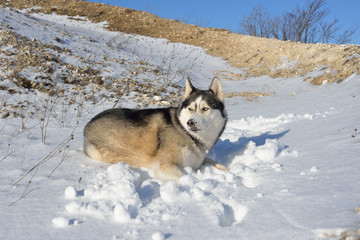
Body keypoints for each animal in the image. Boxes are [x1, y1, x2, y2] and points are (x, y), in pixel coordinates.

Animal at [83, 77, 226, 182]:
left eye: (205, 109)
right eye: (190, 109)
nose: (190, 123)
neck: (187, 133)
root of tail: (87, 125)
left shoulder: (197, 161)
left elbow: (209, 160)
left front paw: (223, 167)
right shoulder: (166, 167)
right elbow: (188, 178)